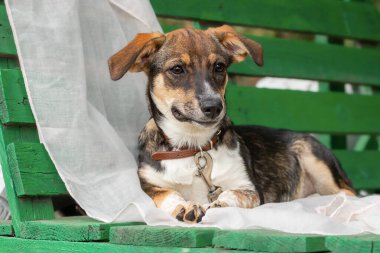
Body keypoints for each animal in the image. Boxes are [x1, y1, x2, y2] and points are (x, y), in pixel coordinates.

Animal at [107, 25, 356, 223]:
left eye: (219, 67)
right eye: (177, 69)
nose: (214, 106)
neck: (192, 146)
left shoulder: (250, 189)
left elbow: (232, 194)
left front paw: (220, 203)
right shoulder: (149, 185)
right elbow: (168, 194)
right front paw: (185, 206)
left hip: (315, 159)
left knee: (348, 193)